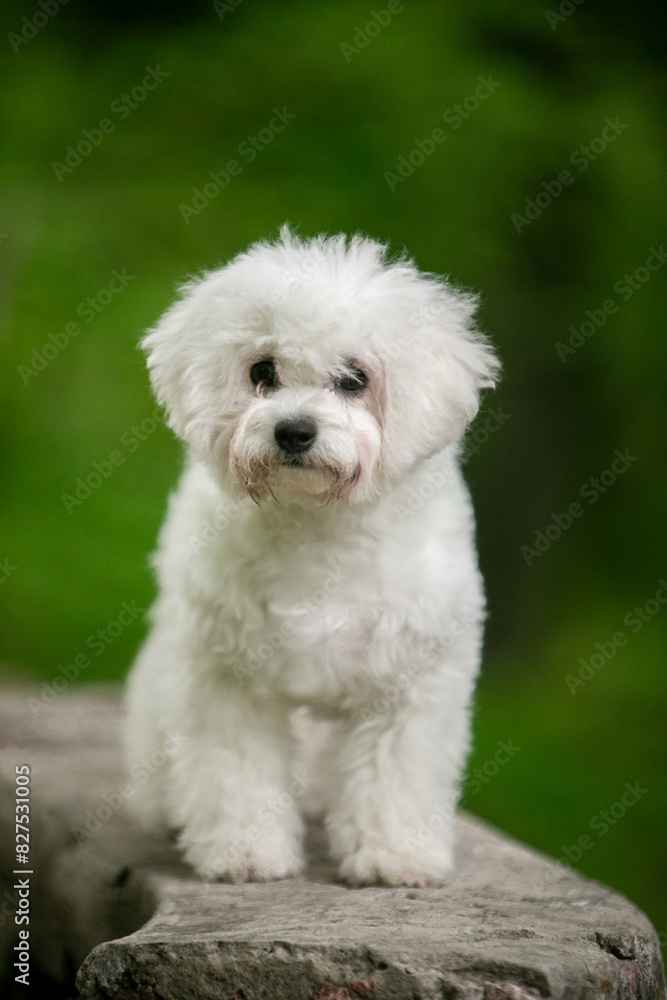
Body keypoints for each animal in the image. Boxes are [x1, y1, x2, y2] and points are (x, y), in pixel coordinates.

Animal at [125, 225, 500, 884]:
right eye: (262, 371)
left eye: (354, 378)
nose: (294, 430)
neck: (317, 526)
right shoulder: (227, 680)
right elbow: (235, 772)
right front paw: (245, 854)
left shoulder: (409, 683)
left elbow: (394, 775)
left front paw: (394, 856)